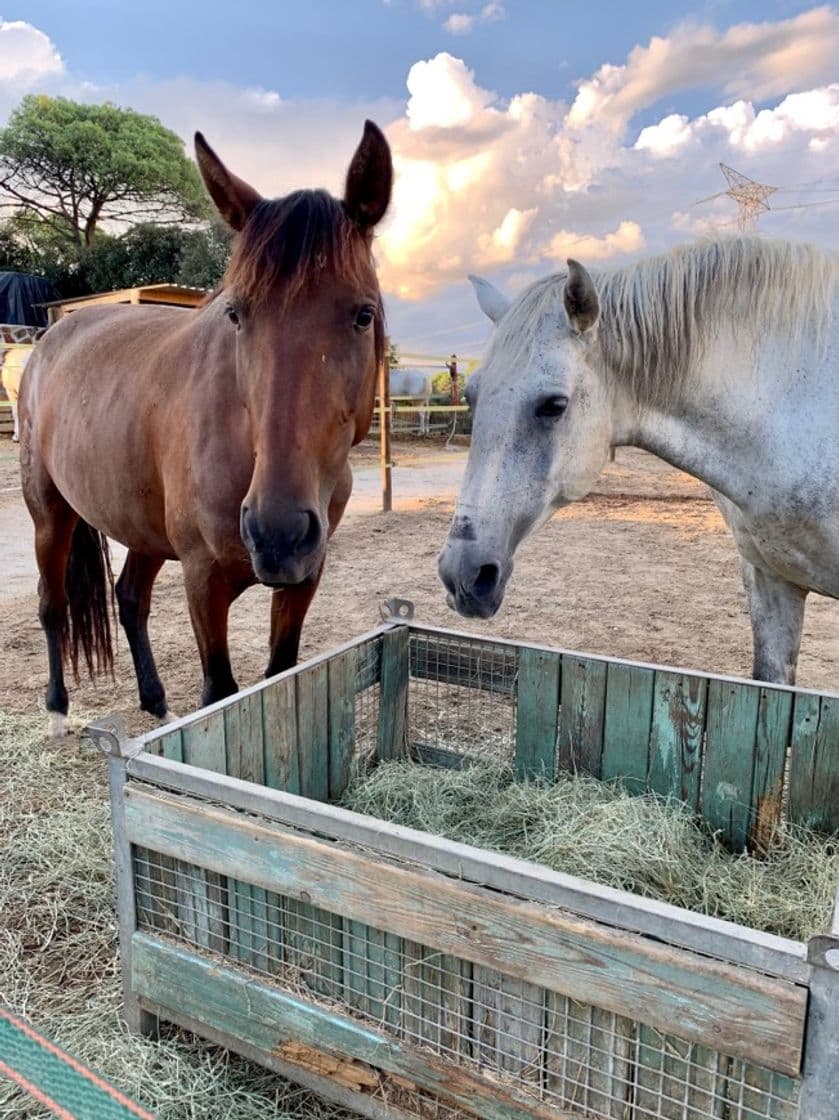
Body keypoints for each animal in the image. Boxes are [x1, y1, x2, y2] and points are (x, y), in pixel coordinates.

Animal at [18, 120, 392, 734]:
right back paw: (55, 710)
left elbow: (278, 674)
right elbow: (220, 692)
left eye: (363, 315)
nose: (276, 532)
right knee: (53, 606)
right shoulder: (202, 578)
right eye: (236, 314)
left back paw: (155, 701)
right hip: (49, 511)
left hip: (140, 521)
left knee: (130, 599)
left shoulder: (306, 574)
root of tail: (52, 336)